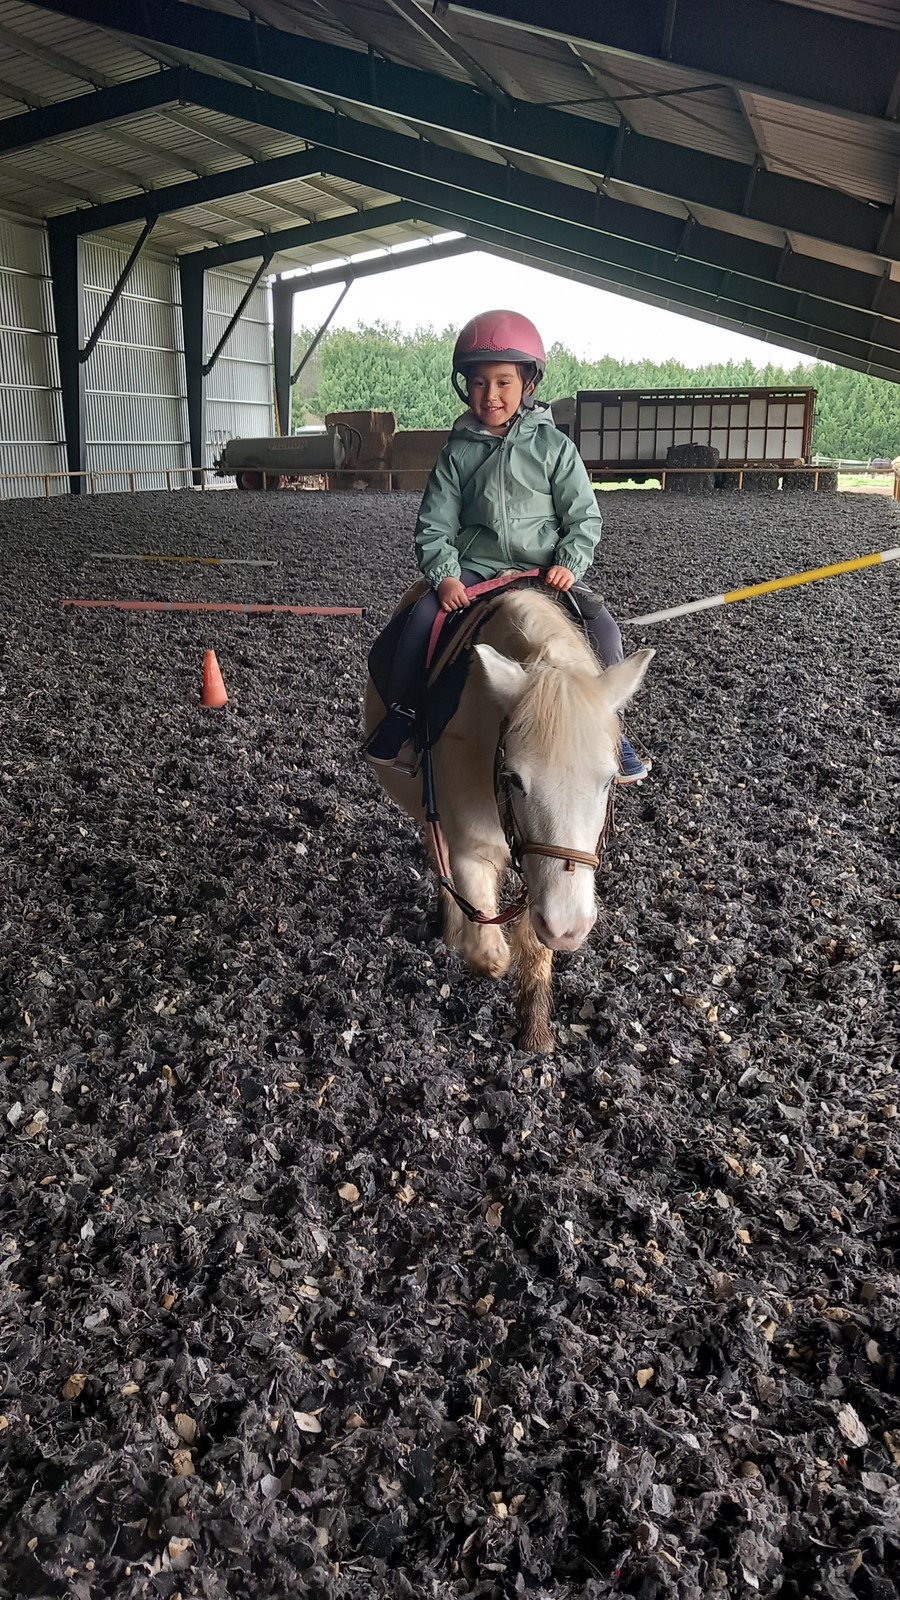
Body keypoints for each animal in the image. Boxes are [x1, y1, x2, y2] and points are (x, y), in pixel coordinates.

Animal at [364, 583, 654, 1053]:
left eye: (609, 779)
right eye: (513, 777)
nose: (571, 926)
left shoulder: (550, 879)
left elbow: (535, 944)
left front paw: (535, 1033)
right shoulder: (473, 848)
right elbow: (490, 957)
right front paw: (475, 943)